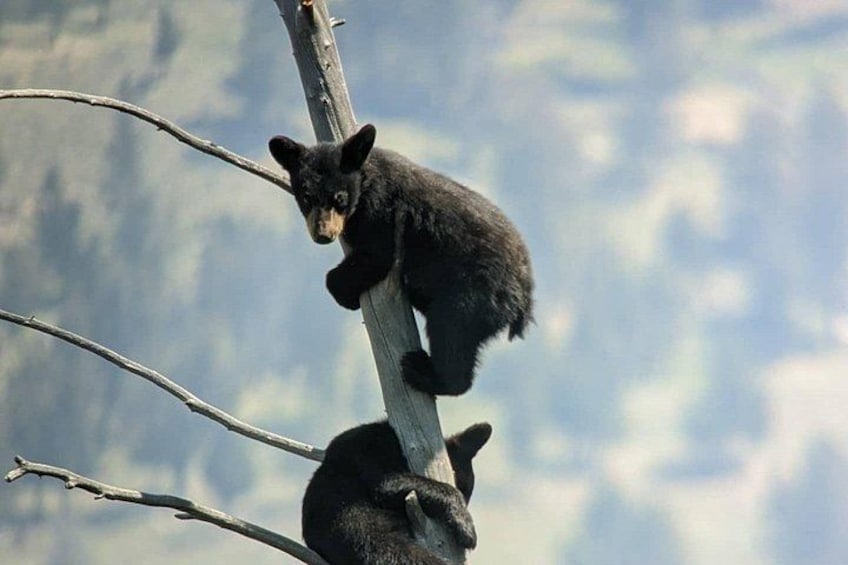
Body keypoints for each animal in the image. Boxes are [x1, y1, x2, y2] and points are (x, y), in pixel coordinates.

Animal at [269, 124, 534, 396]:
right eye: (306, 197)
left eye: (340, 198)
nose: (323, 234)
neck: (366, 182)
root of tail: (524, 300)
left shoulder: (384, 214)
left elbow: (377, 254)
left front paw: (344, 293)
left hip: (471, 293)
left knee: (451, 330)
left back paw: (422, 371)